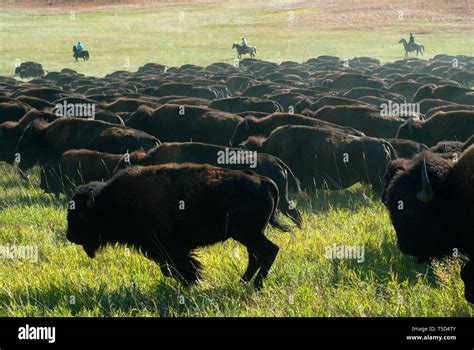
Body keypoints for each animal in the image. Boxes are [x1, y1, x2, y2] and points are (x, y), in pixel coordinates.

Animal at [66, 163, 282, 288]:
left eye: (82, 215)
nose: (70, 236)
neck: (113, 201)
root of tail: (264, 181)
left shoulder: (169, 247)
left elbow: (181, 265)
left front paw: (193, 280)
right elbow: (170, 267)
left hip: (248, 234)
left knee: (269, 250)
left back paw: (257, 285)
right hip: (249, 235)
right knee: (257, 255)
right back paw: (244, 282)